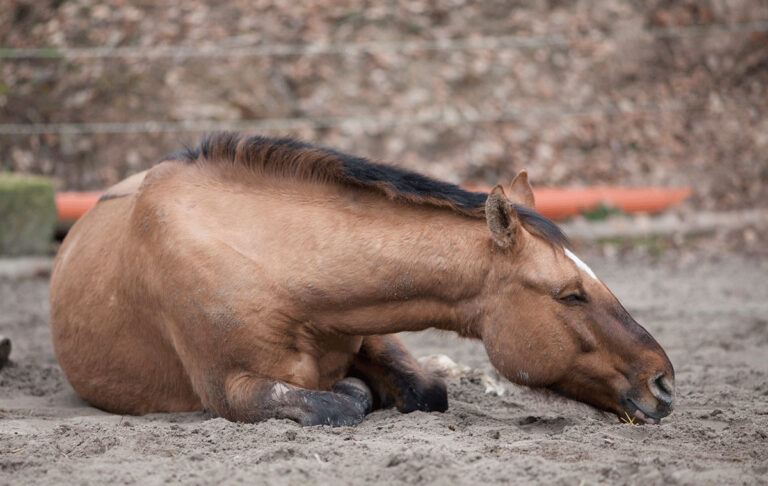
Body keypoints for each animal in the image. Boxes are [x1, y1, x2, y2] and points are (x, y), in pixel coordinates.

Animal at [49, 133, 672, 426]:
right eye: (570, 294)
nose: (663, 383)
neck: (274, 264)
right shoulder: (231, 389)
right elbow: (339, 402)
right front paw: (356, 393)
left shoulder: (372, 327)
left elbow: (426, 390)